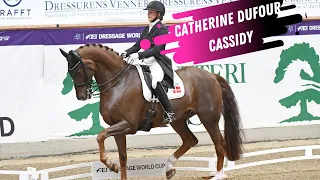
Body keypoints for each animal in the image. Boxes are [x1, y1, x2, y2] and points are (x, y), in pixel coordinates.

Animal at [58, 43, 244, 180]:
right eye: (69, 72)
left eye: (78, 70)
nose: (82, 96)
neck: (118, 82)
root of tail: (212, 75)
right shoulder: (118, 128)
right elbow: (123, 157)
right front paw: (116, 166)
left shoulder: (128, 124)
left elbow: (100, 136)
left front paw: (111, 165)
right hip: (178, 120)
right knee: (190, 140)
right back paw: (169, 168)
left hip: (208, 118)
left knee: (219, 145)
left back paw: (218, 175)